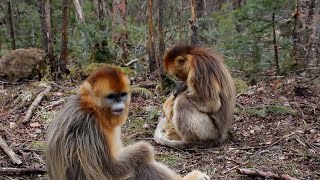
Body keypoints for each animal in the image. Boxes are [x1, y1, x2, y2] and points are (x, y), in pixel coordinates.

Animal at [45, 65, 210, 180]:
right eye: (111, 96)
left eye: (122, 95)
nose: (120, 103)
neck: (93, 109)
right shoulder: (88, 127)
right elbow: (109, 169)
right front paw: (145, 149)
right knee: (141, 165)